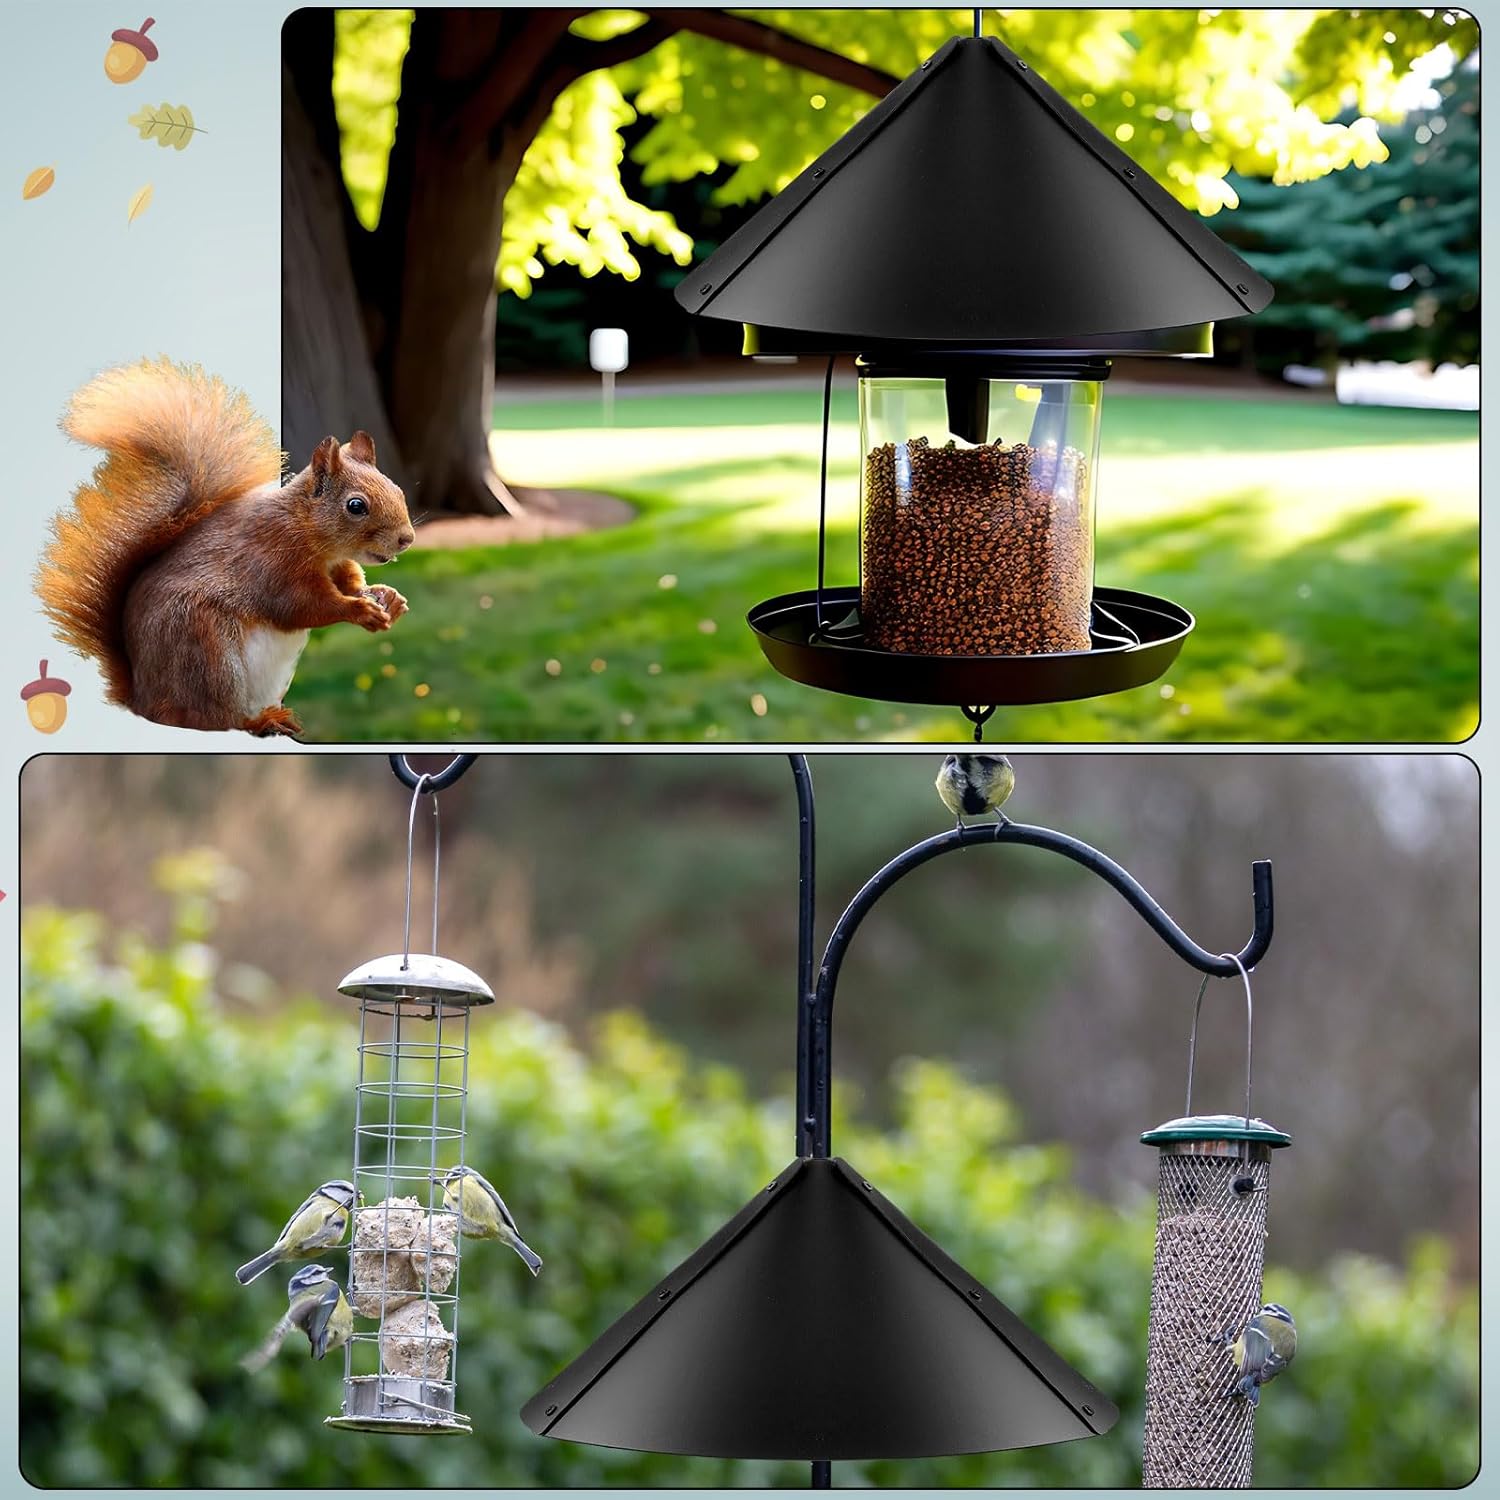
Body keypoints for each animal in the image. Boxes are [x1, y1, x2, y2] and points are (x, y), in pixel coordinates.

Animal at [35, 357, 415, 736]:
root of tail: (142, 702)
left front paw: (387, 597)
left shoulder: (337, 564)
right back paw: (261, 720)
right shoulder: (272, 561)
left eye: (396, 489)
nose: (407, 538)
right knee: (214, 718)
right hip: (205, 652)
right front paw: (359, 610)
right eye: (356, 505)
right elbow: (304, 605)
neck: (311, 536)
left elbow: (350, 582)